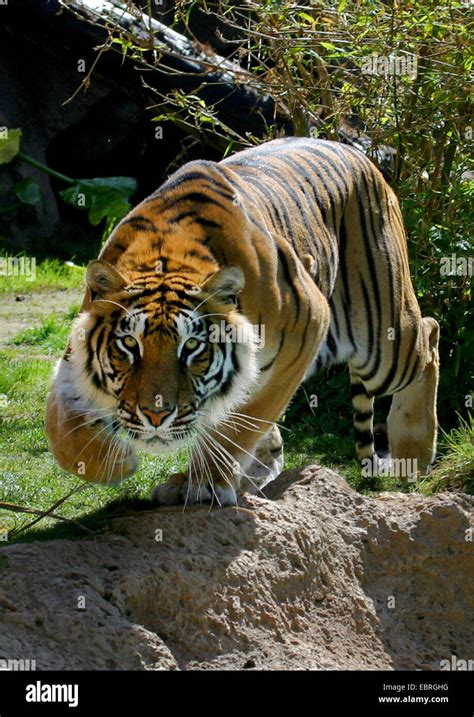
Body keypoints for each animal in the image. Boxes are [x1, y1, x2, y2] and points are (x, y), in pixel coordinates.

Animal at [45, 136, 440, 504]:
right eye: (129, 344)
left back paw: (414, 452)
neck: (164, 254)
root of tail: (355, 151)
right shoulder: (75, 358)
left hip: (382, 340)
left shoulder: (307, 326)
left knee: (429, 336)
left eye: (192, 347)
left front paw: (204, 485)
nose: (156, 417)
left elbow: (237, 423)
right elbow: (59, 423)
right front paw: (111, 460)